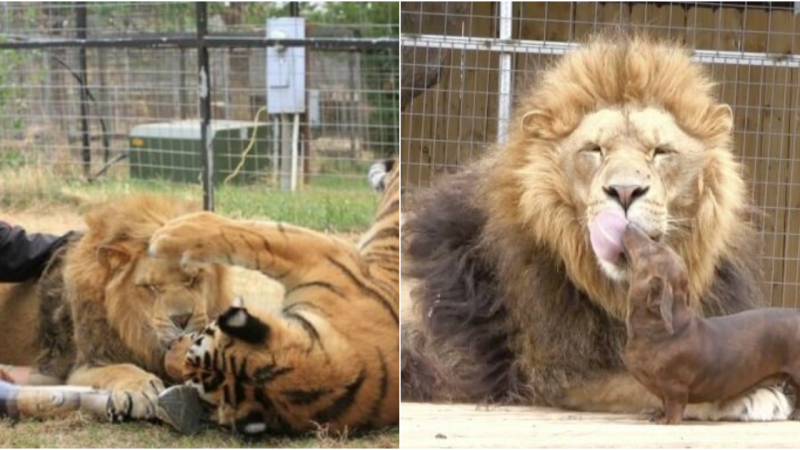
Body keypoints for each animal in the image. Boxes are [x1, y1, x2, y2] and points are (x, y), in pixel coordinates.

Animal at [0, 195, 230, 420]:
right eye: (151, 287)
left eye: (194, 279)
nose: (181, 319)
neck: (135, 330)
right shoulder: (83, 365)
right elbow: (121, 368)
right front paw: (140, 388)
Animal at [620, 225, 800, 426]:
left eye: (652, 249)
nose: (629, 226)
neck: (657, 330)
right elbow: (663, 403)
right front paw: (658, 415)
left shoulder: (675, 386)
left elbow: (674, 406)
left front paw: (667, 421)